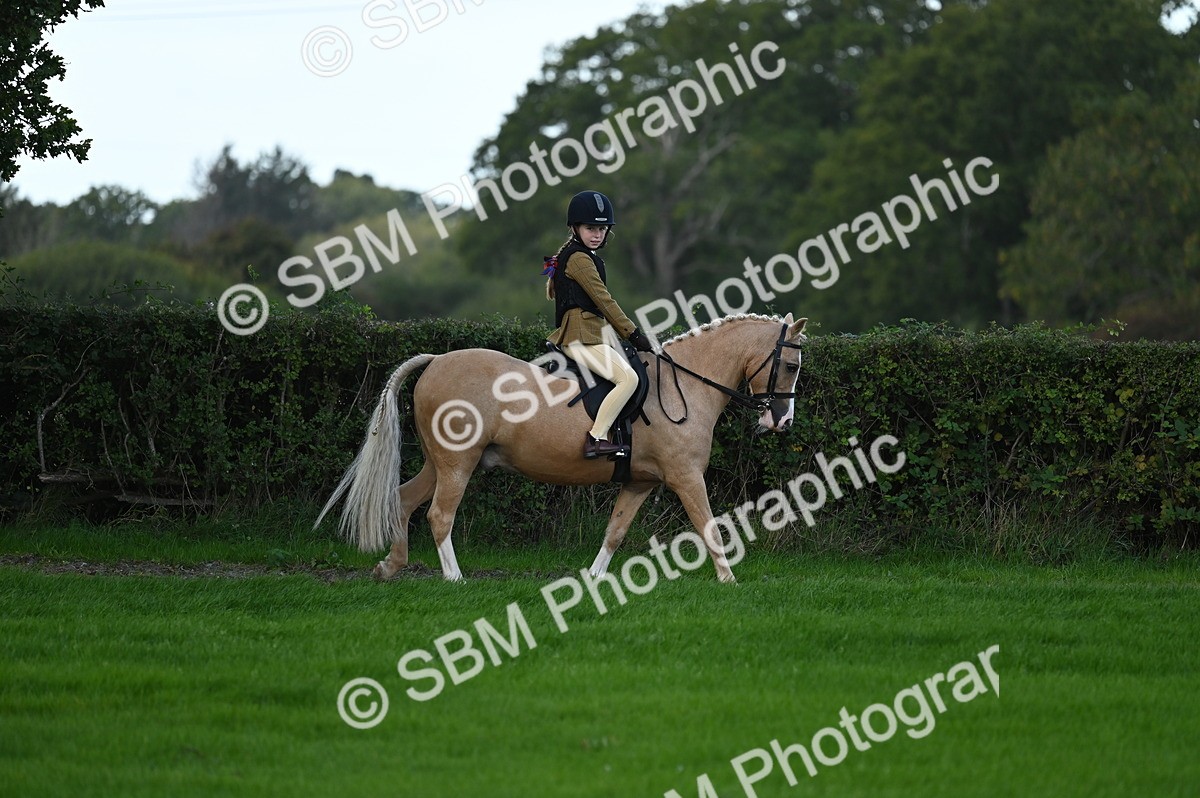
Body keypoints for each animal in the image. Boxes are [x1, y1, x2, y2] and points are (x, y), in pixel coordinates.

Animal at [315, 312, 808, 582]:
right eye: (789, 364)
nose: (781, 422)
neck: (683, 384)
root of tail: (436, 360)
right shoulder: (686, 477)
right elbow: (709, 527)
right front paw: (730, 581)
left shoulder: (639, 483)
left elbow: (615, 532)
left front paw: (594, 578)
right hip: (458, 463)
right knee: (439, 515)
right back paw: (455, 578)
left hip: (440, 463)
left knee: (403, 500)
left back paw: (390, 566)